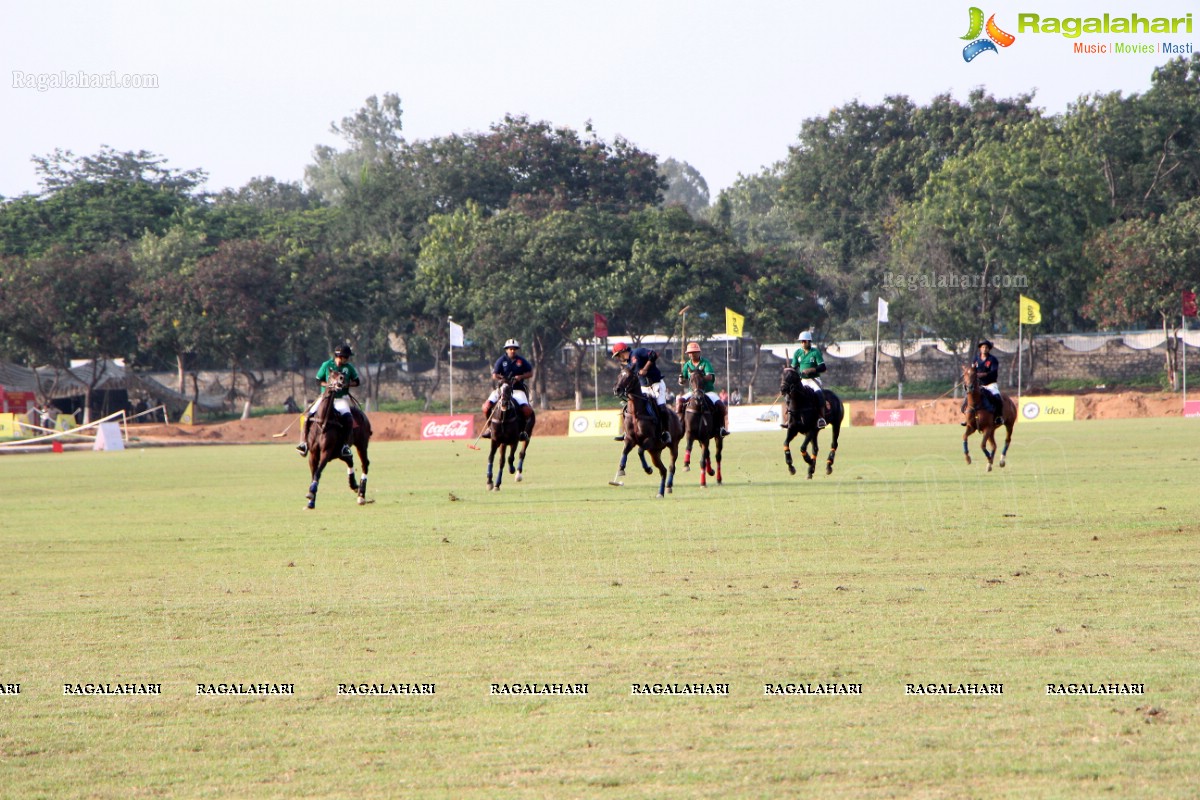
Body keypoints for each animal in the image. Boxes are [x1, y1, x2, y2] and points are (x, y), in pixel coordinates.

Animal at [304, 371, 369, 510]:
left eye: (342, 374)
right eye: (330, 375)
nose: (341, 379)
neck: (323, 422)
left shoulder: (326, 451)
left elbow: (318, 472)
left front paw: (311, 492)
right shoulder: (313, 453)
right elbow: (314, 473)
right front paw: (311, 501)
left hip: (361, 444)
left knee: (365, 464)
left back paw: (361, 496)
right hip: (339, 452)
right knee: (349, 459)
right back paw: (353, 484)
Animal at [609, 367, 686, 496]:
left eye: (629, 376)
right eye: (619, 375)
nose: (616, 390)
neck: (636, 412)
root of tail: (676, 416)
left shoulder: (649, 439)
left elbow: (640, 451)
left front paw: (648, 469)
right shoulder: (630, 439)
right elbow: (625, 451)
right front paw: (621, 469)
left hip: (673, 445)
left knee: (671, 467)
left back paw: (669, 486)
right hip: (654, 451)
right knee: (663, 470)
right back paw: (660, 493)